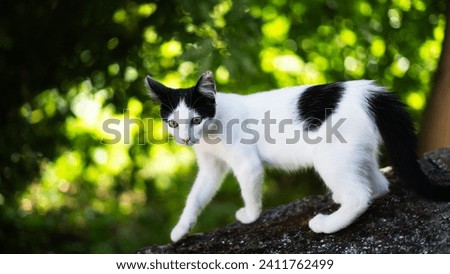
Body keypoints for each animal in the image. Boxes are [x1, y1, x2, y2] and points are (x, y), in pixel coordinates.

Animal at [147, 71, 446, 242]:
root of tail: (366, 91)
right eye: (173, 123)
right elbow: (196, 197)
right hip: (355, 153)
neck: (211, 131)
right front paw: (181, 230)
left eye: (196, 119)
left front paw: (250, 216)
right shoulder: (210, 167)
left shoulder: (247, 164)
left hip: (330, 158)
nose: (185, 138)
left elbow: (249, 191)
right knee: (379, 186)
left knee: (360, 197)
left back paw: (327, 224)